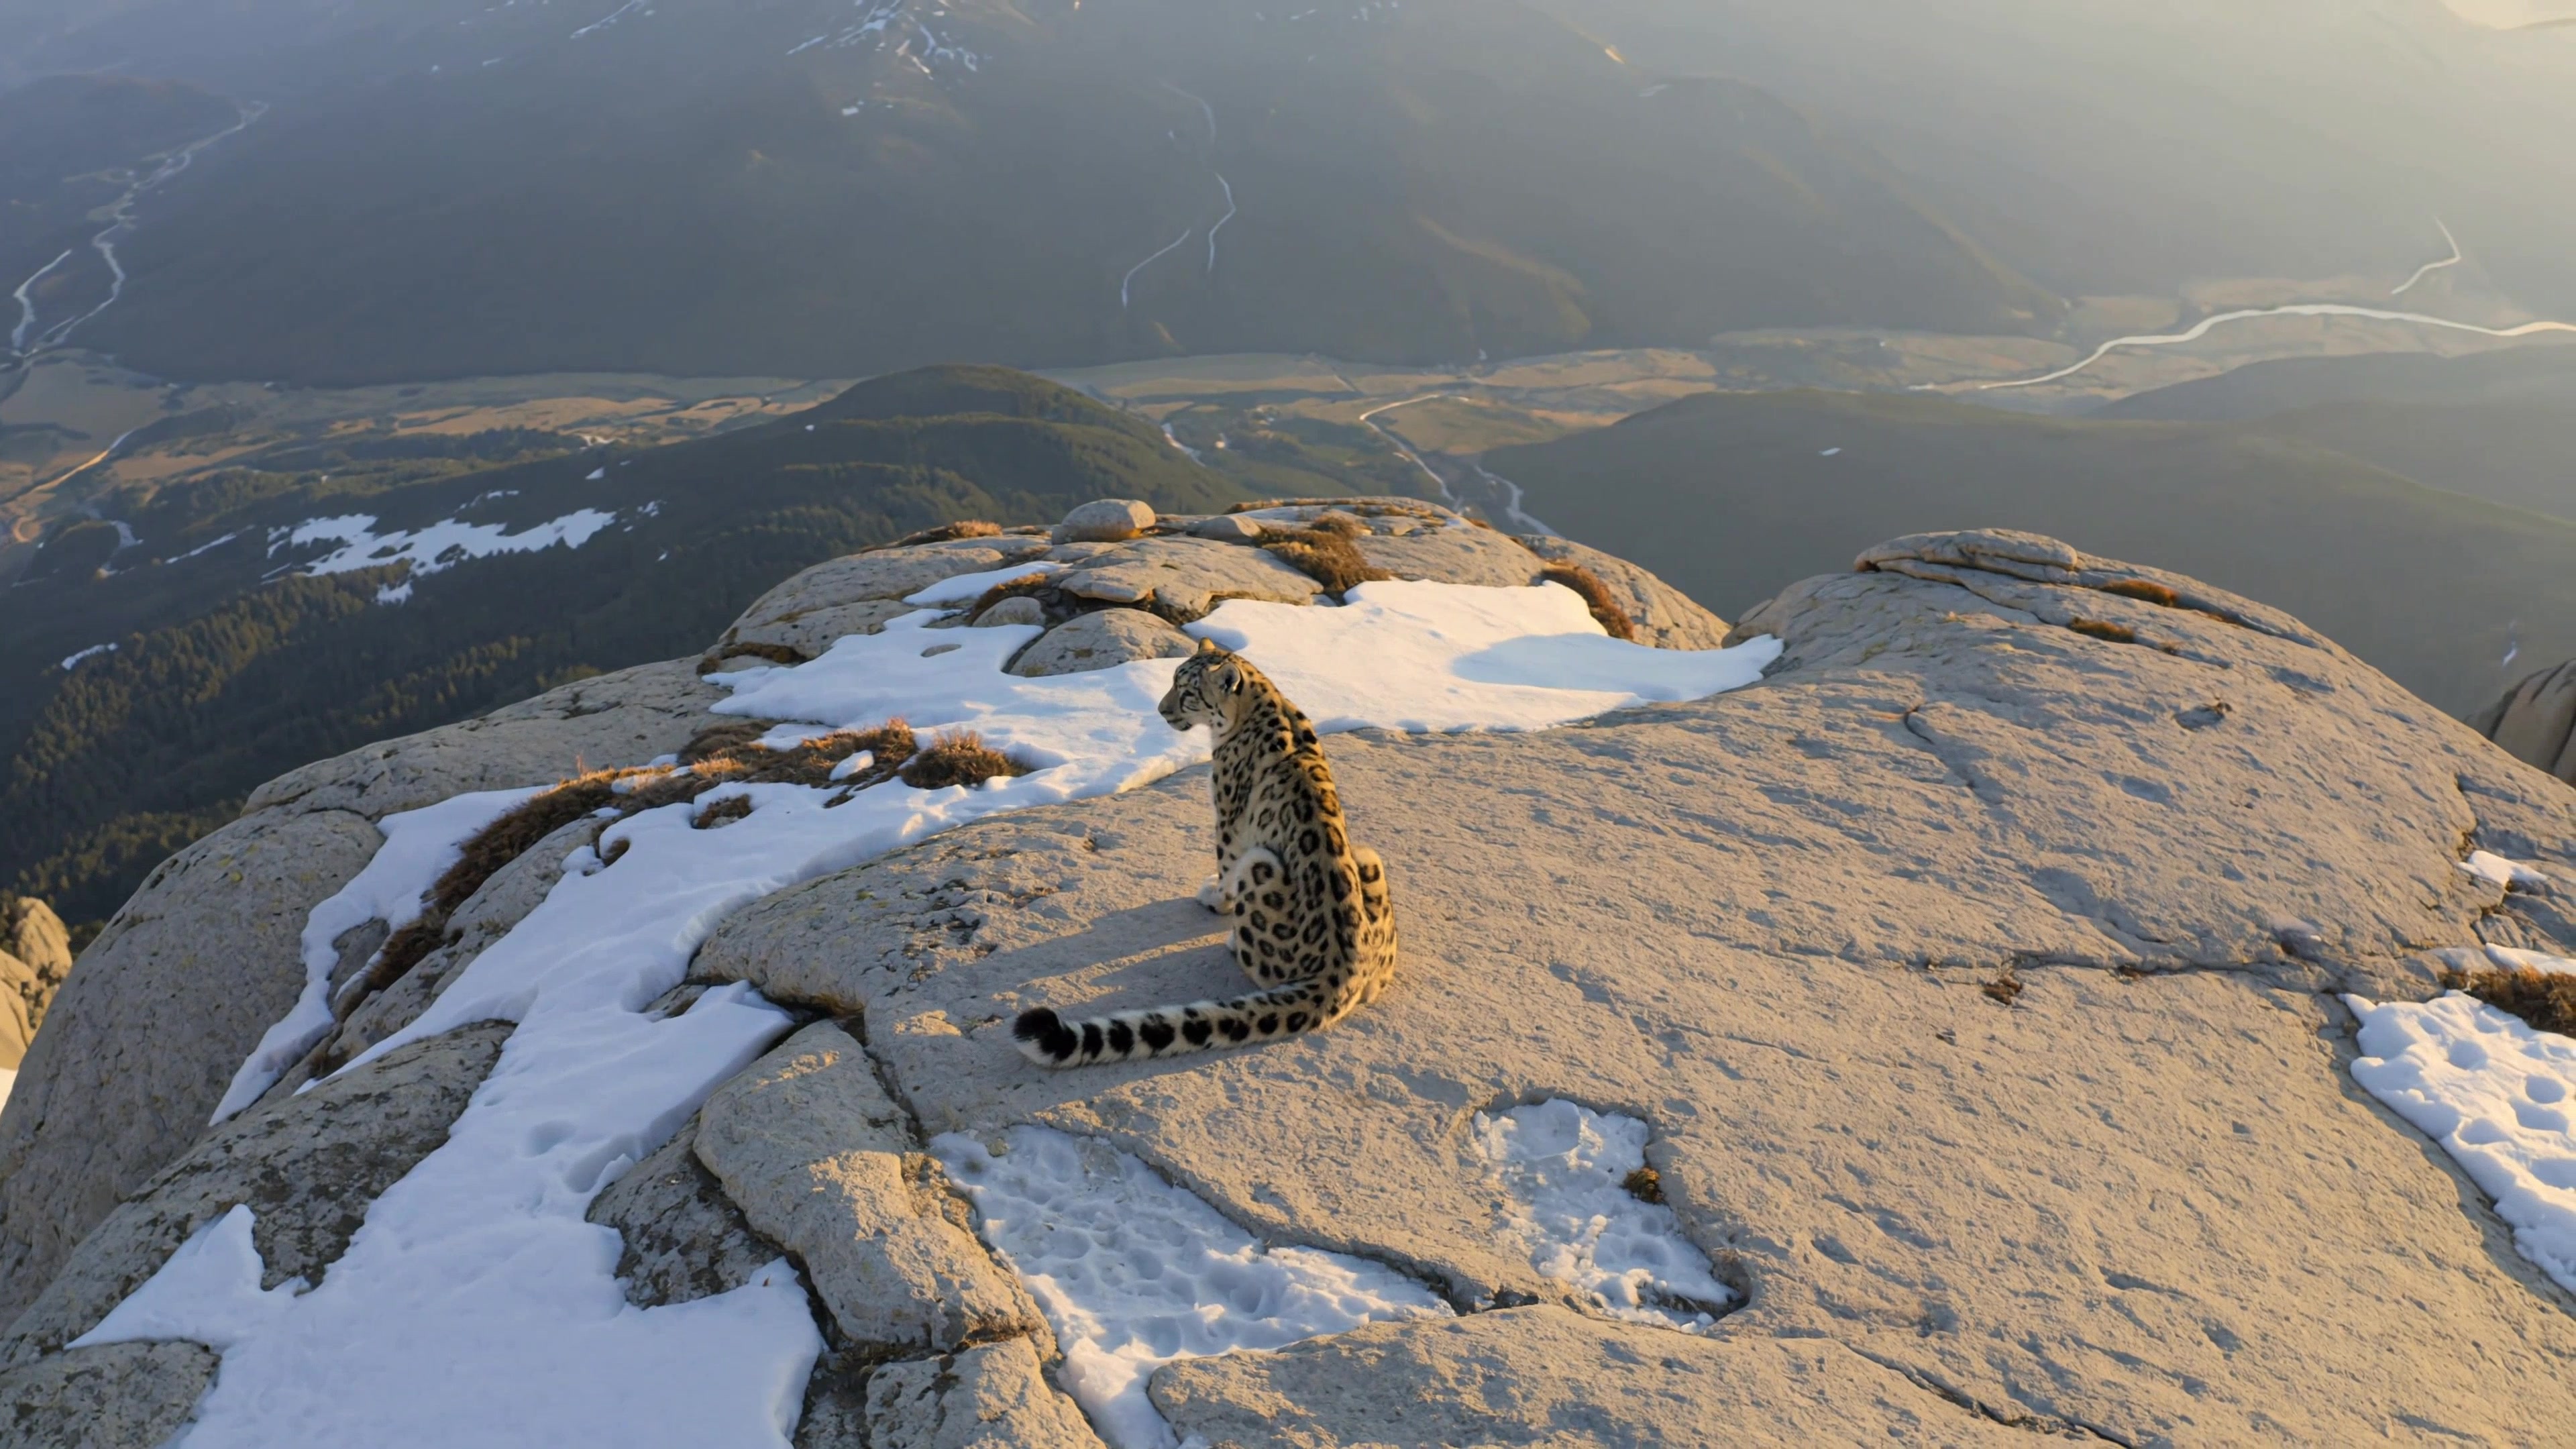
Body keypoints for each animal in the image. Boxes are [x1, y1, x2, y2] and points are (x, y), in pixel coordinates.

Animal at [1013, 639, 1397, 1067]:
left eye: (1187, 692)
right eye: (1173, 681)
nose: (1161, 711)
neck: (1264, 701)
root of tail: (1345, 971)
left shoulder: (1227, 815)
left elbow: (1224, 865)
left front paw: (1214, 897)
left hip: (1259, 866)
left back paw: (1233, 941)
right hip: (1368, 856)